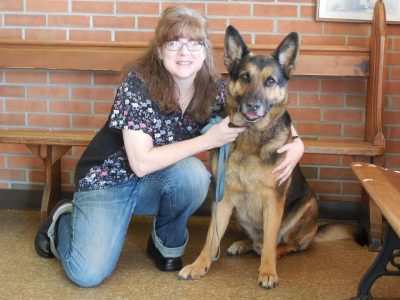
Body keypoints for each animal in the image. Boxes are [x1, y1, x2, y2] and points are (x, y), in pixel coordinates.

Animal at [179, 27, 318, 290]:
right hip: (240, 213)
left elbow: (271, 242)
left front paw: (268, 272)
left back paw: (270, 250)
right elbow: (211, 238)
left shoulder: (273, 200)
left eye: (270, 81)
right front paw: (199, 265)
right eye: (245, 77)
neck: (250, 135)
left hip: (307, 206)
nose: (253, 105)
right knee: (256, 238)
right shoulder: (223, 198)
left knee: (286, 244)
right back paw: (244, 244)